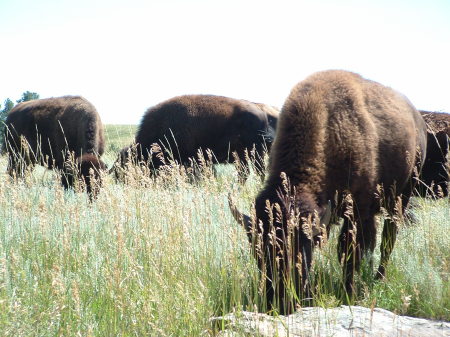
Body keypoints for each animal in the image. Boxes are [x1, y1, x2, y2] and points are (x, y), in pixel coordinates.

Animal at [230, 69, 428, 314]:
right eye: (259, 252)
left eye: (302, 250)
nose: (279, 301)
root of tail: (418, 121)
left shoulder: (356, 211)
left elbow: (348, 251)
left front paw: (348, 293)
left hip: (402, 196)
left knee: (388, 239)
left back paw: (378, 278)